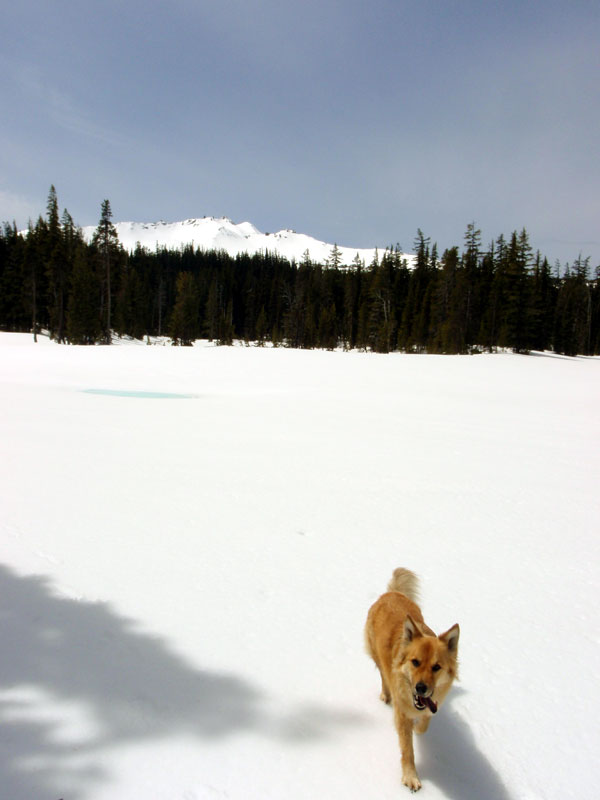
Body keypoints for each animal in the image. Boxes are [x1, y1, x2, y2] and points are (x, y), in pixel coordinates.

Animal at [366, 568, 460, 792]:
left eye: (436, 667)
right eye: (415, 662)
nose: (421, 688)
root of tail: (392, 593)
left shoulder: (432, 704)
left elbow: (426, 721)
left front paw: (419, 728)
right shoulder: (402, 715)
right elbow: (407, 749)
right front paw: (410, 776)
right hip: (376, 654)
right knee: (382, 673)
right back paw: (386, 695)